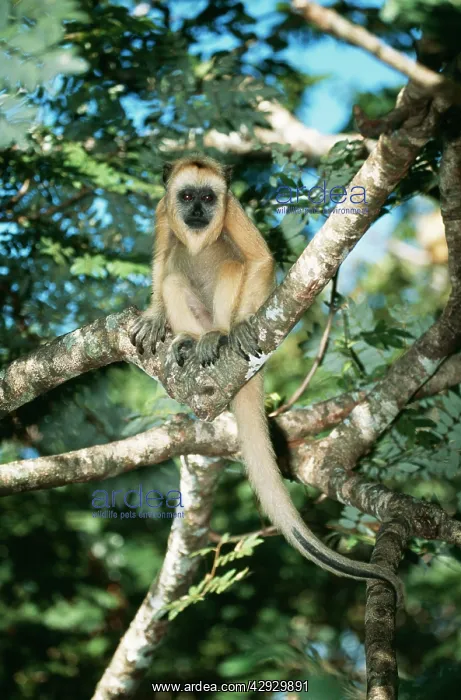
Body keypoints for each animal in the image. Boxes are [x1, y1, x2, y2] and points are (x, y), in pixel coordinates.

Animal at [130, 154, 403, 606]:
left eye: (209, 198)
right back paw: (187, 340)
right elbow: (160, 263)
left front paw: (240, 326)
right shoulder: (161, 213)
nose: (198, 211)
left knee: (230, 262)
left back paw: (219, 335)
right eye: (186, 197)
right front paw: (153, 316)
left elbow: (258, 260)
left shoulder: (234, 210)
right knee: (172, 272)